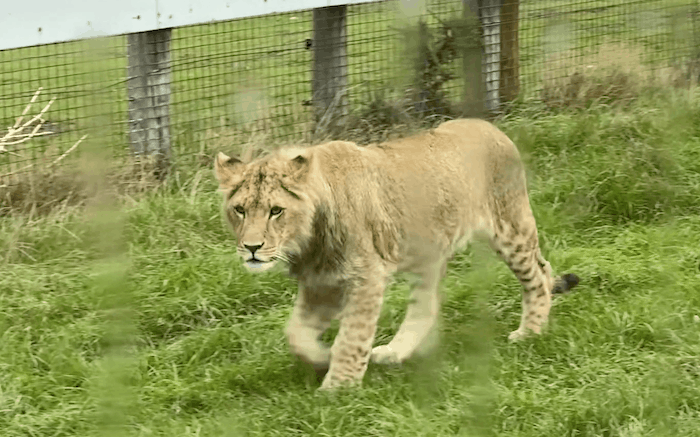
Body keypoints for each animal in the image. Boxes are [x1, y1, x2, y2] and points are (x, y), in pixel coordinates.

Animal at [214, 118, 579, 390]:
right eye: (240, 210)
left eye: (276, 211)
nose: (252, 248)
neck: (307, 242)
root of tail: (491, 126)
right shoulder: (322, 283)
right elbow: (296, 334)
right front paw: (321, 358)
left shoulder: (365, 277)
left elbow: (352, 336)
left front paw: (338, 387)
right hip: (429, 251)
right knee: (428, 305)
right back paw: (393, 352)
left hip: (510, 227)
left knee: (537, 276)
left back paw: (530, 332)